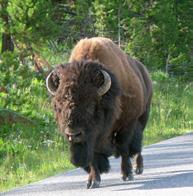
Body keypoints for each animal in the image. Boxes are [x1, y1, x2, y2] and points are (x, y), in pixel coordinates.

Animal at [45, 36, 152, 188]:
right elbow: (93, 156)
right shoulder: (90, 137)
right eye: (59, 106)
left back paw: (138, 168)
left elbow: (124, 147)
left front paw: (127, 174)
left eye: (90, 105)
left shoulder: (127, 124)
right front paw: (92, 181)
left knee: (137, 145)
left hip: (143, 116)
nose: (73, 134)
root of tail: (143, 70)